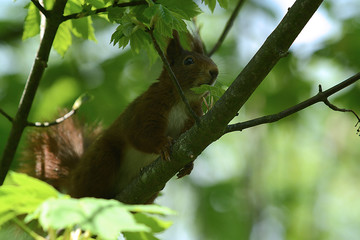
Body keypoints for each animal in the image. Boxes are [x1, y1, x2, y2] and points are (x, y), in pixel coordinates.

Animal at [20, 31, 219, 202]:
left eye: (210, 59)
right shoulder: (147, 108)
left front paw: (189, 165)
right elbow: (139, 134)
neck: (181, 100)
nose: (215, 71)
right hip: (101, 160)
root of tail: (73, 178)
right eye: (189, 61)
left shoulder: (194, 120)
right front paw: (162, 144)